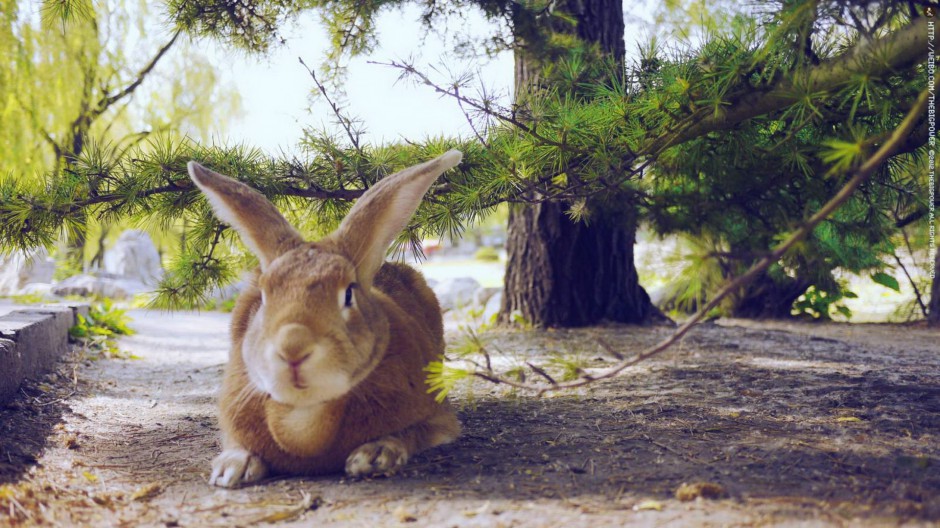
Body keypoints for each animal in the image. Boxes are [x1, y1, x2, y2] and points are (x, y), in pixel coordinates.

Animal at [185, 148, 464, 486]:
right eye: (263, 297)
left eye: (348, 295)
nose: (293, 347)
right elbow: (235, 443)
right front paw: (232, 468)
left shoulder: (438, 417)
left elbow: (413, 433)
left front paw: (375, 455)